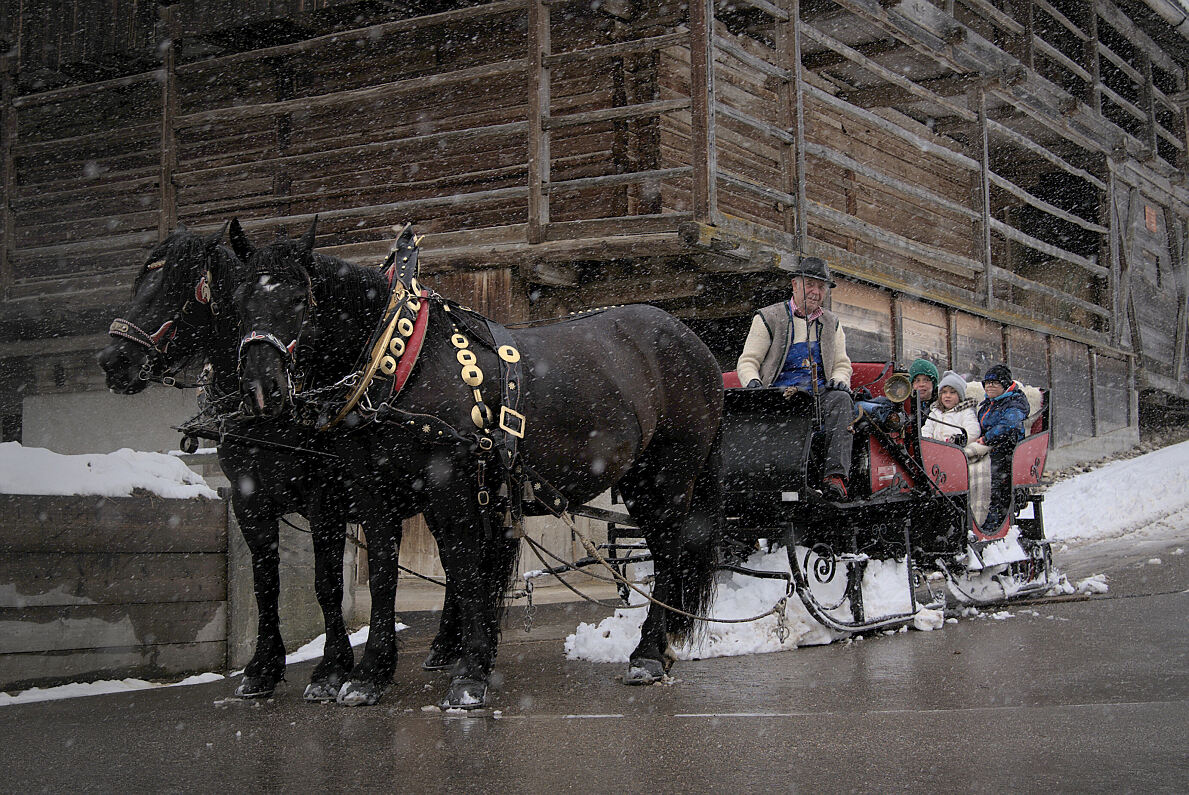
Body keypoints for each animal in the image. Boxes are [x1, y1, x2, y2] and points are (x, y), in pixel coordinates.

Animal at [96, 224, 356, 698]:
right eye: (140, 284)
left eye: (173, 287)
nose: (112, 361)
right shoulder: (248, 501)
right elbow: (264, 582)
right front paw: (262, 668)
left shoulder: (324, 499)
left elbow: (326, 582)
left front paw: (332, 669)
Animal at [233, 218, 722, 708]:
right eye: (237, 300)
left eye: (300, 298)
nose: (260, 389)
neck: (401, 363)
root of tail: (692, 339)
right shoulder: (374, 493)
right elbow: (383, 578)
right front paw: (370, 674)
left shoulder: (448, 488)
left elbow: (466, 571)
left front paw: (469, 674)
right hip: (642, 481)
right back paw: (660, 650)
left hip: (668, 477)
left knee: (667, 552)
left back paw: (648, 655)